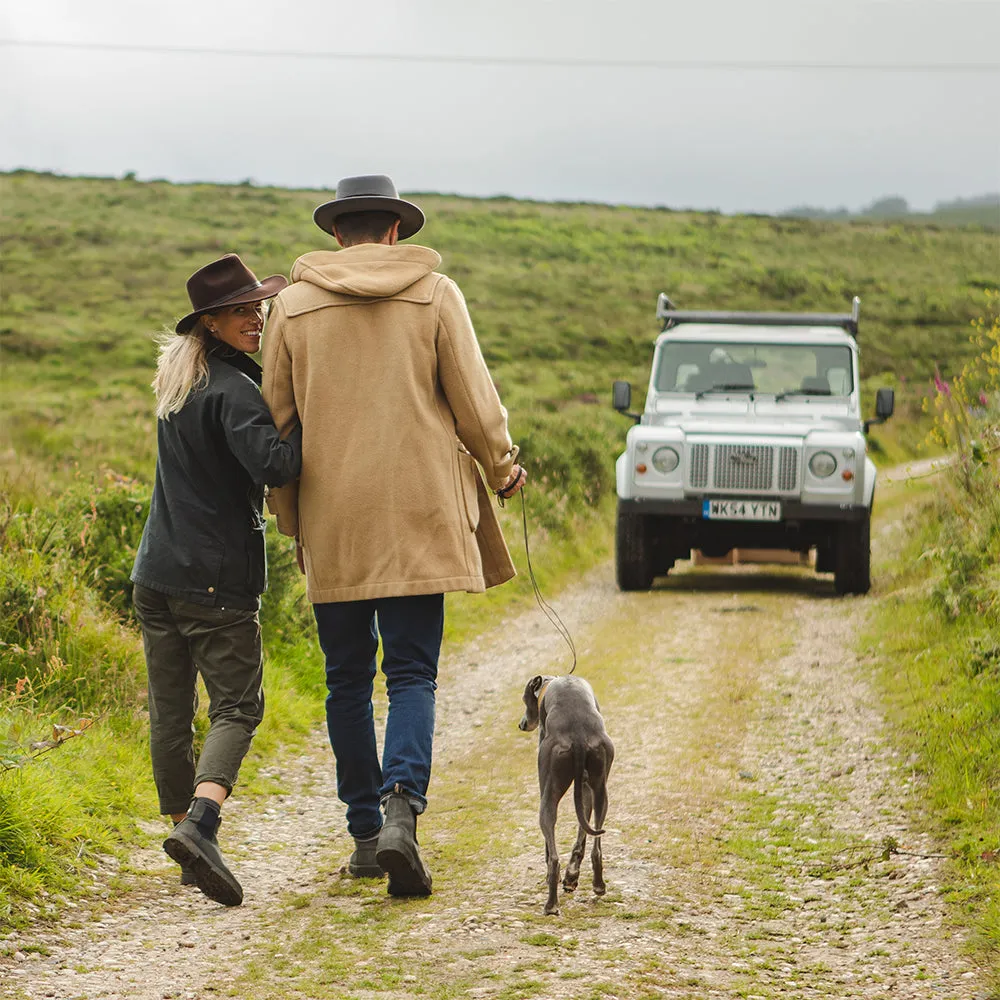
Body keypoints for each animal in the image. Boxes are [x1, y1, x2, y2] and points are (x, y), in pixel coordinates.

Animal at [520, 672, 612, 916]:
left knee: (553, 858)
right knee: (596, 846)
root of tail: (578, 735)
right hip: (600, 789)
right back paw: (594, 884)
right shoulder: (586, 788)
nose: (522, 724)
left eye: (524, 700)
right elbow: (581, 835)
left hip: (548, 797)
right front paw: (572, 876)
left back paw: (551, 904)